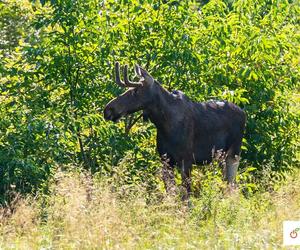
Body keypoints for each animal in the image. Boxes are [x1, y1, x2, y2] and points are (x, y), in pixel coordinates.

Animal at [103, 62, 246, 199]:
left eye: (135, 91)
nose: (108, 110)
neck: (164, 123)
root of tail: (244, 113)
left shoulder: (186, 159)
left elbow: (186, 195)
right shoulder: (165, 159)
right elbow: (171, 192)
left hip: (234, 154)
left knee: (232, 185)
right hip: (221, 157)